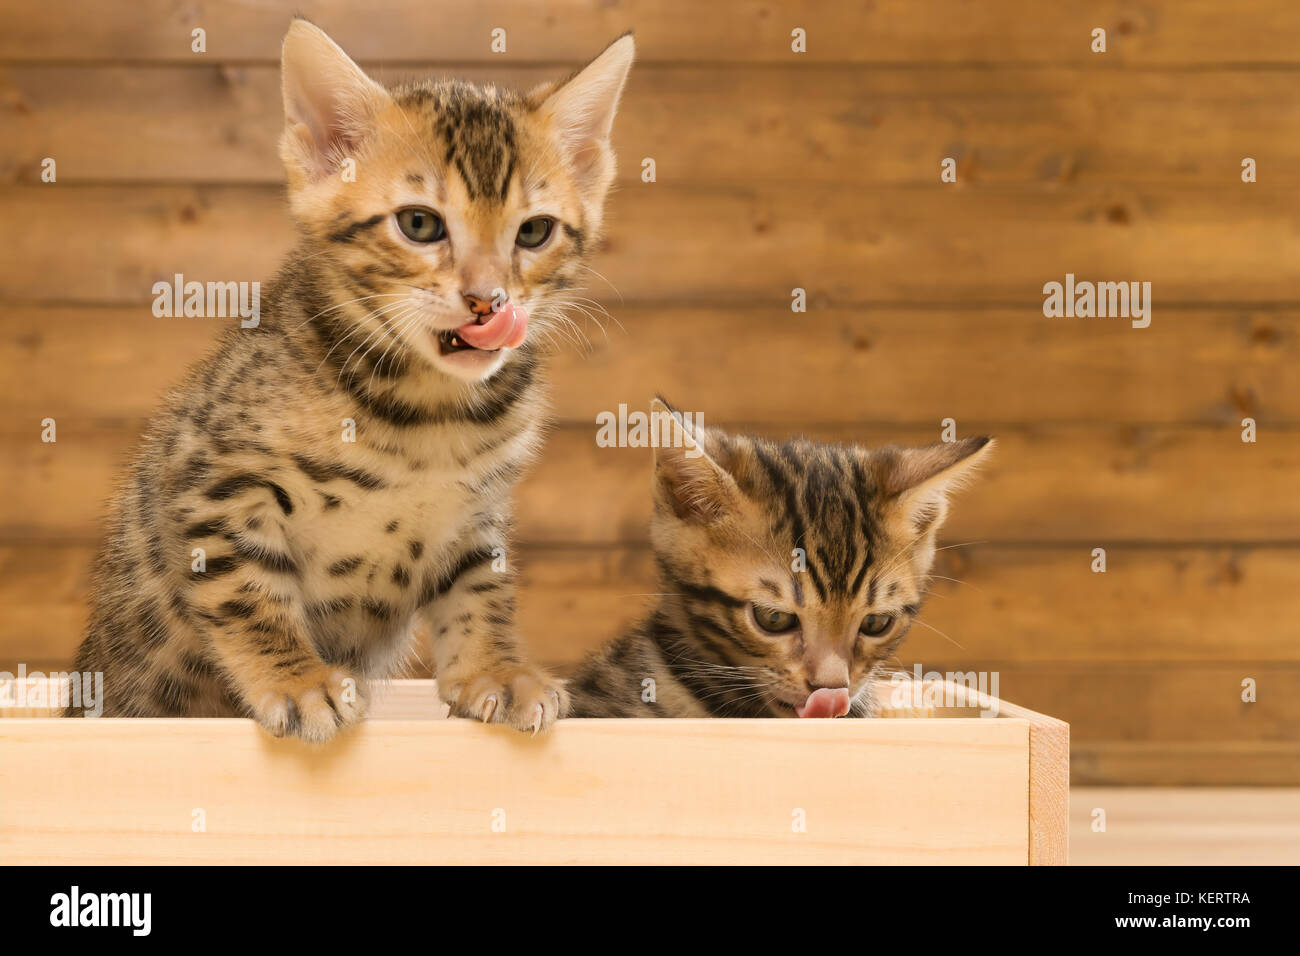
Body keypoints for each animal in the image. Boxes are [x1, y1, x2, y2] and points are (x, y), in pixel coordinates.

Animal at [68, 20, 637, 738]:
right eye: (419, 223)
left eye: (534, 232)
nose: (489, 303)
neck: (429, 410)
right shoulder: (216, 481)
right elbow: (247, 591)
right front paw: (298, 681)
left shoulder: (476, 513)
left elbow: (480, 591)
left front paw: (496, 672)